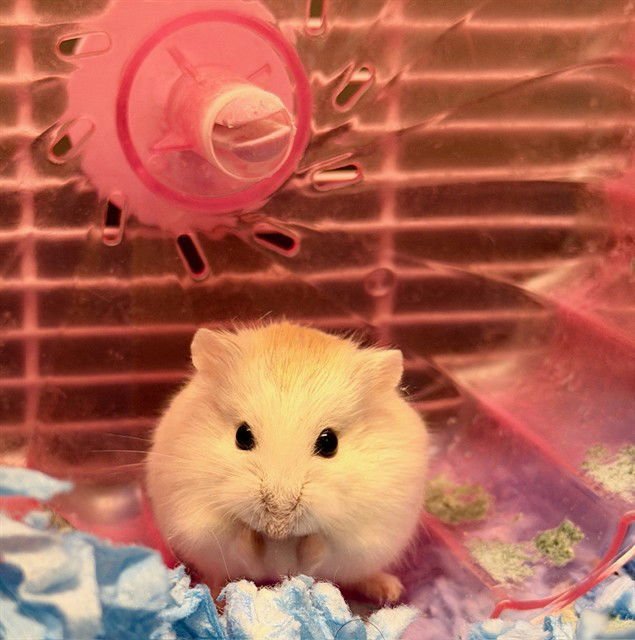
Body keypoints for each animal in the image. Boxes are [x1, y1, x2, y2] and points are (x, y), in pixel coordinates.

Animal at [146, 321, 429, 603]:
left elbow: (321, 550)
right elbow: (240, 544)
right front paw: (249, 532)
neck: (281, 540)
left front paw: (313, 539)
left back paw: (391, 590)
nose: (278, 521)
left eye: (329, 443)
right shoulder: (199, 522)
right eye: (242, 435)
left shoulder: (364, 536)